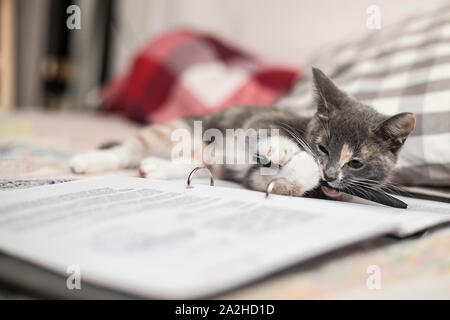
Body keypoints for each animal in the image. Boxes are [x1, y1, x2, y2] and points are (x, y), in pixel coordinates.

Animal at [69, 67, 414, 198]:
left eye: (356, 163)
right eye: (323, 148)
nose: (329, 174)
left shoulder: (257, 178)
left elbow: (281, 181)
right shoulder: (264, 120)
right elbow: (265, 134)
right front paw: (283, 150)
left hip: (207, 159)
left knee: (196, 164)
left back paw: (154, 168)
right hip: (175, 129)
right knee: (128, 148)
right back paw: (86, 162)